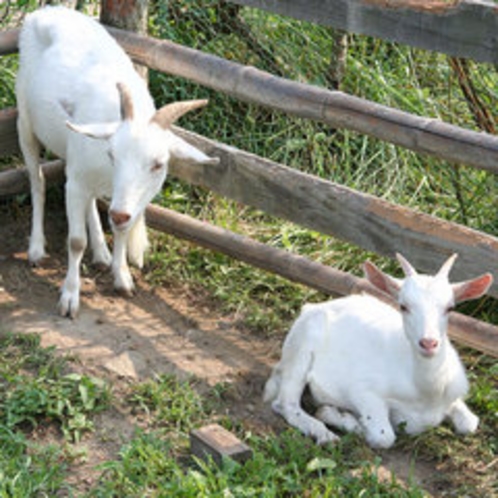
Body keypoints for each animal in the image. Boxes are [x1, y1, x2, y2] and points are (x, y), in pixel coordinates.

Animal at [15, 5, 217, 318]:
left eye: (158, 164)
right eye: (112, 155)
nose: (119, 213)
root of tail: (48, 9)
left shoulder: (132, 198)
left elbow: (121, 230)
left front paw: (121, 276)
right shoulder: (76, 183)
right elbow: (76, 241)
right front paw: (70, 298)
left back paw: (101, 252)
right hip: (24, 121)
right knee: (37, 182)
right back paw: (36, 248)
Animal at [266, 255, 492, 450]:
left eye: (450, 308)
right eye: (403, 306)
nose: (428, 343)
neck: (427, 393)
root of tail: (312, 307)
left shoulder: (455, 394)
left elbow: (470, 423)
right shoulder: (365, 392)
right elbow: (384, 437)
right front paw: (336, 415)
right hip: (302, 346)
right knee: (285, 404)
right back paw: (324, 434)